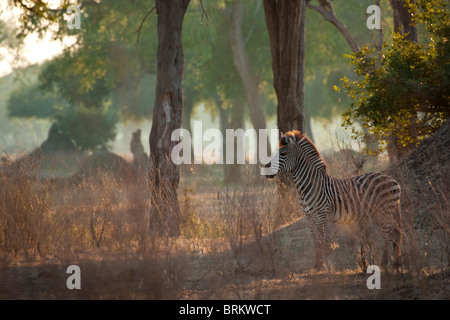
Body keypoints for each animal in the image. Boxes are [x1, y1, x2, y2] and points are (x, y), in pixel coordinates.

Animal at [264, 130, 400, 270]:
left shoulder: (320, 214)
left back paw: (384, 263)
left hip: (385, 211)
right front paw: (318, 263)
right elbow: (315, 239)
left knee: (387, 235)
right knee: (395, 234)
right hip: (384, 212)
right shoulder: (308, 217)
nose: (265, 168)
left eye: (283, 153)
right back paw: (396, 263)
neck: (306, 188)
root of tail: (391, 179)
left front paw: (323, 262)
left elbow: (321, 238)